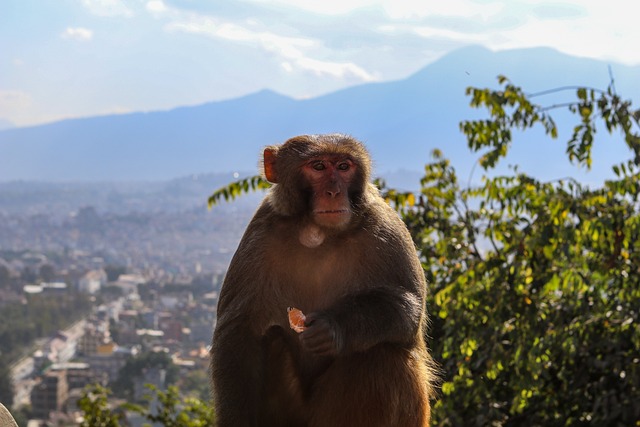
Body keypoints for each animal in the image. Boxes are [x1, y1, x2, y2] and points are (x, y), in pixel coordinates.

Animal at [210, 135, 436, 427]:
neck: (317, 232)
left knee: (384, 355)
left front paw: (332, 327)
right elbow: (239, 331)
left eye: (343, 167)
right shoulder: (261, 230)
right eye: (318, 167)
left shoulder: (386, 226)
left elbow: (408, 309)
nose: (334, 192)